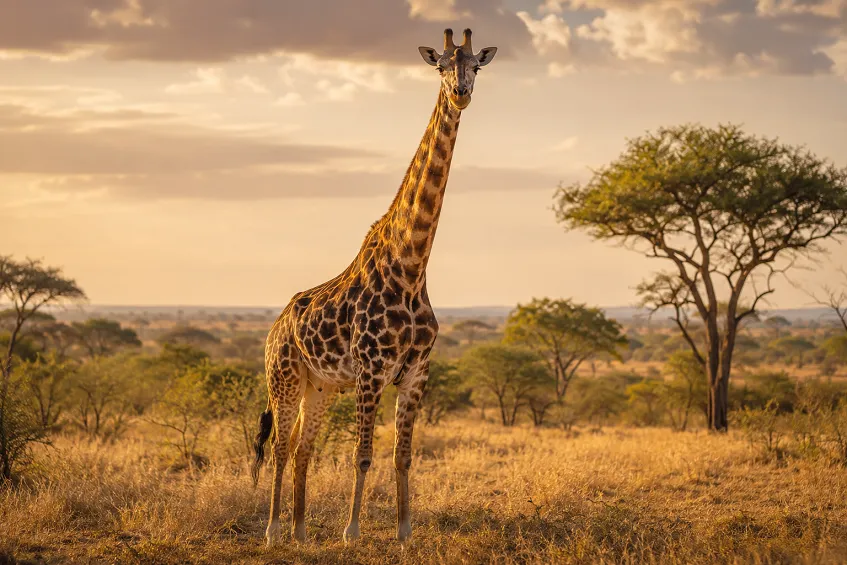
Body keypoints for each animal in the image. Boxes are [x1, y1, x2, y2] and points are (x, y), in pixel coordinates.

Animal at [251, 28, 497, 546]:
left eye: (475, 67)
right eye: (440, 65)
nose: (461, 93)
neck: (412, 266)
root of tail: (274, 327)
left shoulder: (417, 371)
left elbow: (403, 456)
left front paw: (404, 532)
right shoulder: (371, 371)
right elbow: (362, 455)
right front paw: (352, 532)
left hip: (320, 385)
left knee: (302, 447)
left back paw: (301, 532)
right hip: (282, 376)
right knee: (280, 446)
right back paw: (274, 529)